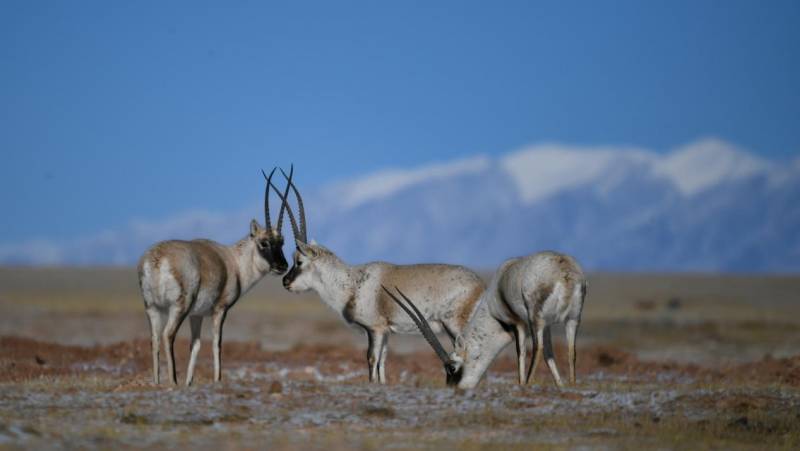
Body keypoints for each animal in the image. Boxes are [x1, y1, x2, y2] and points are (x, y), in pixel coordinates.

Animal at [138, 168, 294, 386]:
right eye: (264, 242)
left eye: (282, 242)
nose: (282, 266)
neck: (234, 262)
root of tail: (157, 258)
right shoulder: (220, 310)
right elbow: (216, 343)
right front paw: (217, 379)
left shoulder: (196, 315)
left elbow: (195, 345)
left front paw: (189, 382)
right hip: (178, 308)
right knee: (167, 335)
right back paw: (173, 383)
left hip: (153, 307)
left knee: (154, 339)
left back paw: (157, 383)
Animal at [268, 170, 484, 384]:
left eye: (299, 261)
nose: (285, 282)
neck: (351, 283)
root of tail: (480, 284)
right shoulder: (387, 331)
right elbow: (383, 361)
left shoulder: (375, 329)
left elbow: (372, 359)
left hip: (455, 326)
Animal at [388, 252, 588, 390]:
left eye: (452, 368)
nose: (452, 389)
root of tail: (566, 272)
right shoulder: (546, 326)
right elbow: (550, 353)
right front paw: (560, 385)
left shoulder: (517, 324)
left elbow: (521, 352)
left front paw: (522, 384)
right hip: (572, 319)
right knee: (571, 350)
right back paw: (572, 384)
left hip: (536, 318)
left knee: (537, 349)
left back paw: (529, 384)